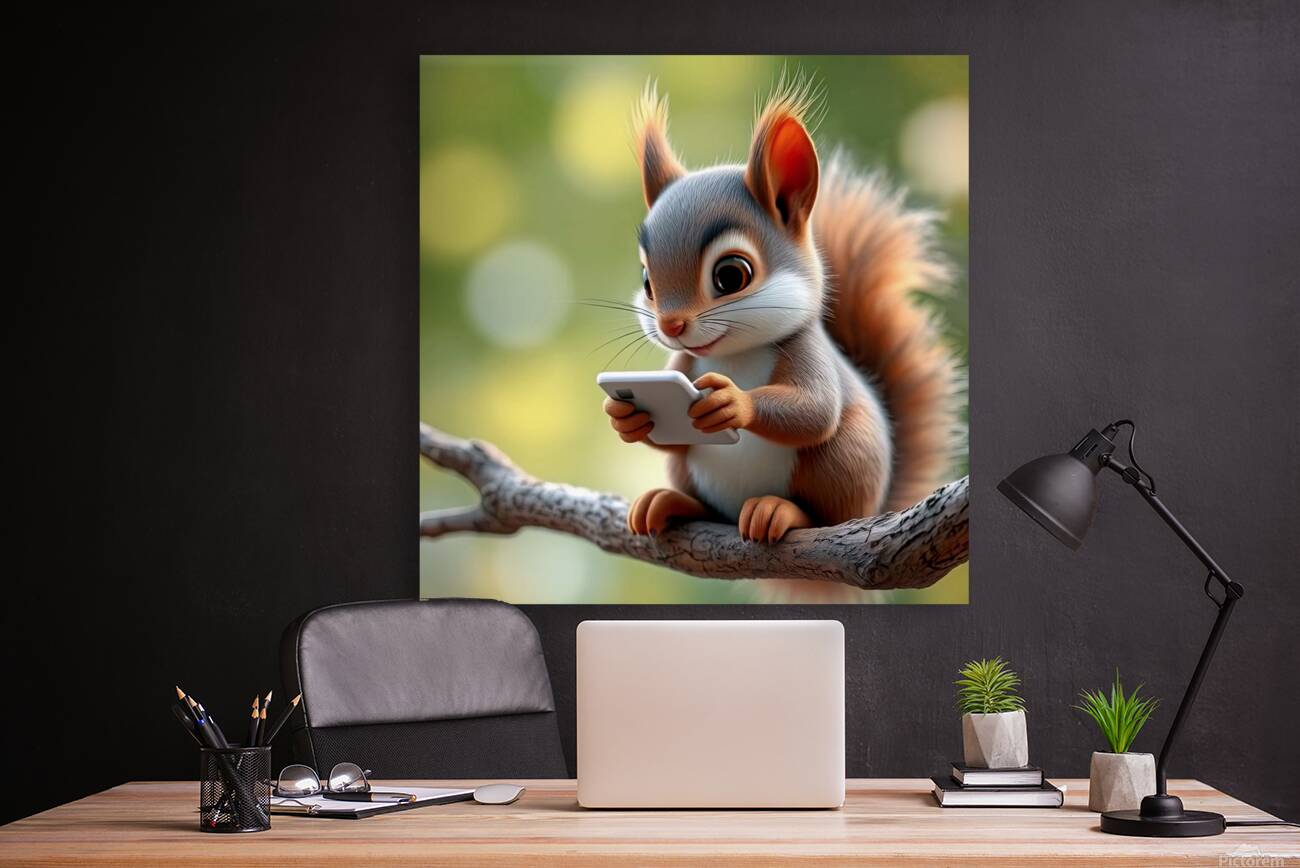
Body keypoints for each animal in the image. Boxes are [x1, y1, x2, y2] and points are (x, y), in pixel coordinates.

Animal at [604, 79, 960, 545]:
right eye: (647, 281)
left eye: (731, 275)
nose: (671, 325)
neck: (734, 354)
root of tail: (876, 505)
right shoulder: (682, 362)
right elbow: (669, 436)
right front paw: (625, 418)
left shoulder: (807, 351)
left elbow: (815, 410)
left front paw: (733, 402)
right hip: (692, 473)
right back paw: (669, 502)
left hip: (845, 460)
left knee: (826, 511)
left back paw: (779, 511)